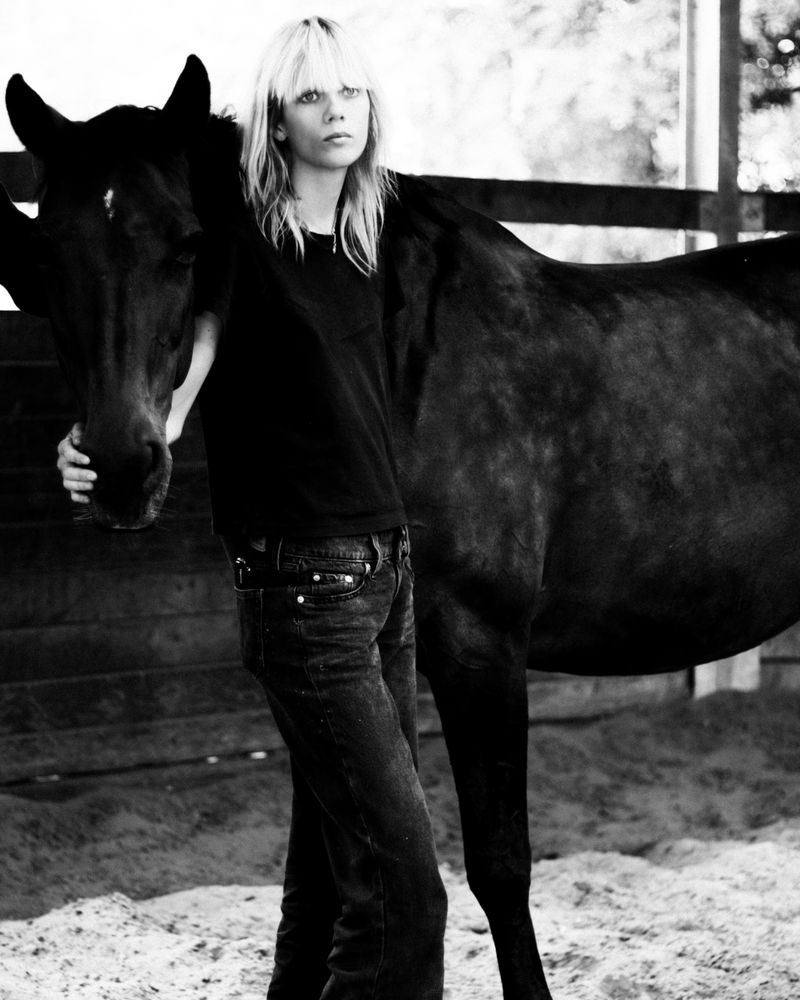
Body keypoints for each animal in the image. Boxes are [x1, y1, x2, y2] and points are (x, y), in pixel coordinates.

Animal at [4, 56, 800, 1000]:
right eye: (44, 255)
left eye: (188, 244)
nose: (122, 469)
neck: (404, 354)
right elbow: (325, 886)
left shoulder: (480, 646)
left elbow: (498, 864)